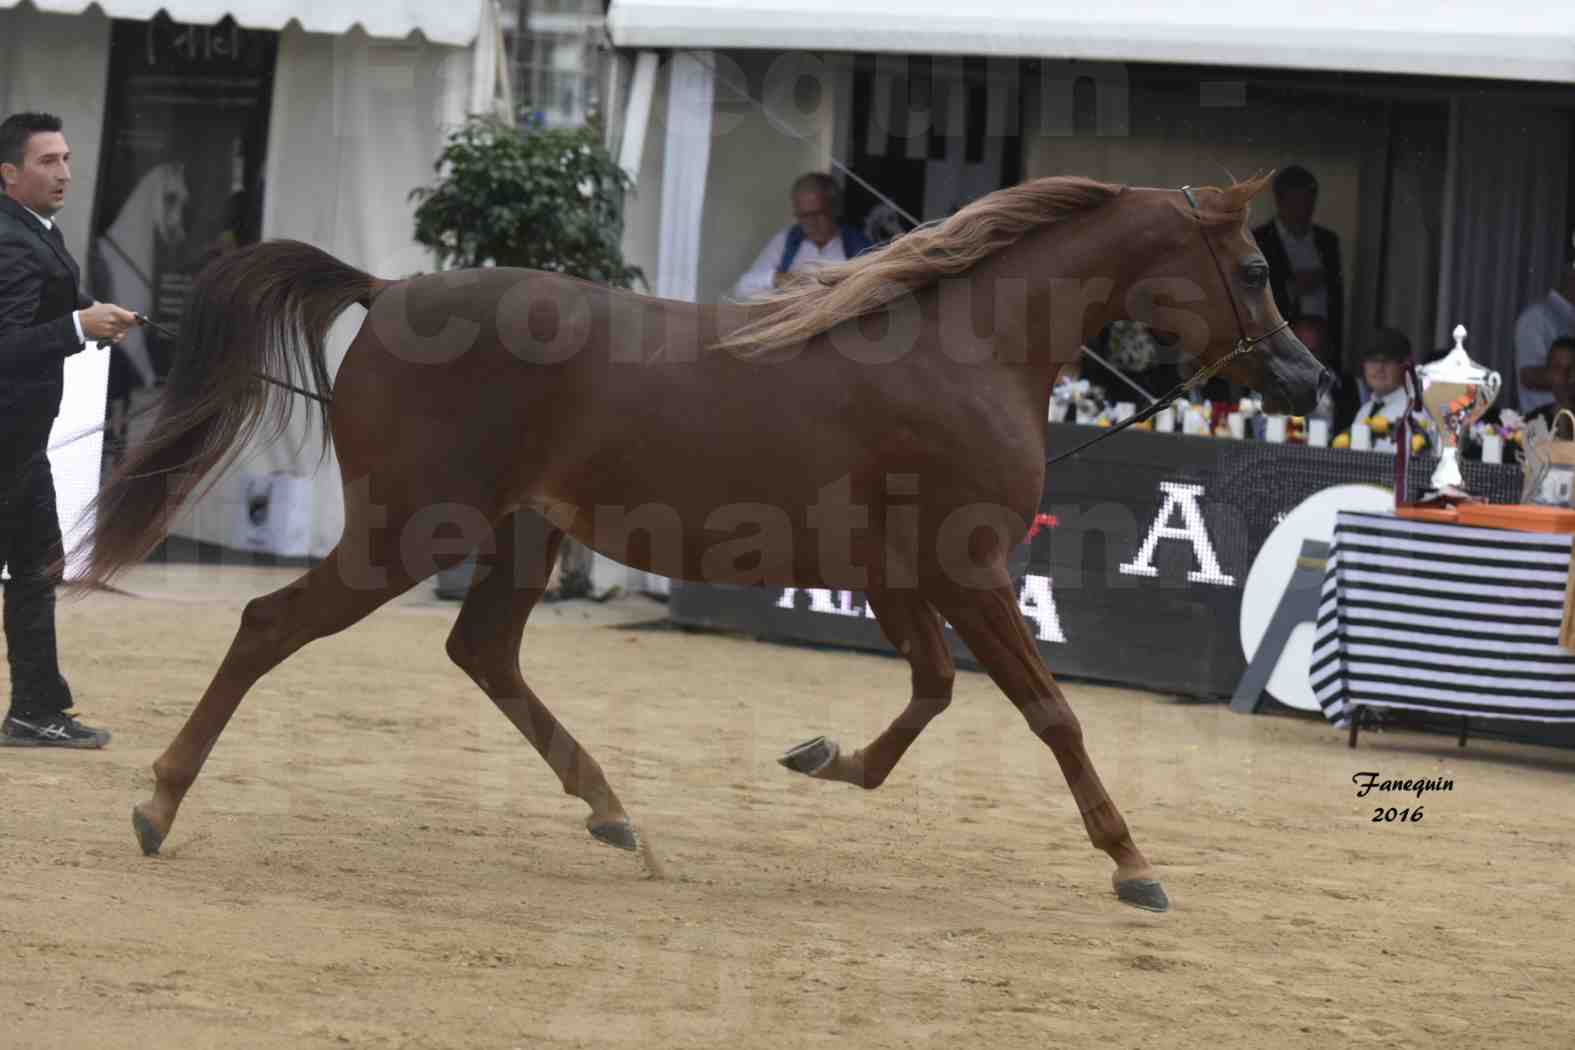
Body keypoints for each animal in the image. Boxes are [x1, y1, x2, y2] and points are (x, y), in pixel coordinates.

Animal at [76, 172, 1329, 913]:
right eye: (1254, 267)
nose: (1308, 377)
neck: (962, 351)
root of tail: (388, 293)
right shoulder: (968, 571)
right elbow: (1050, 711)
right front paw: (1134, 864)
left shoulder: (899, 577)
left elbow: (929, 696)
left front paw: (824, 757)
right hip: (408, 531)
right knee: (267, 625)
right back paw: (155, 805)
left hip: (517, 537)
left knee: (483, 653)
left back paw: (612, 812)